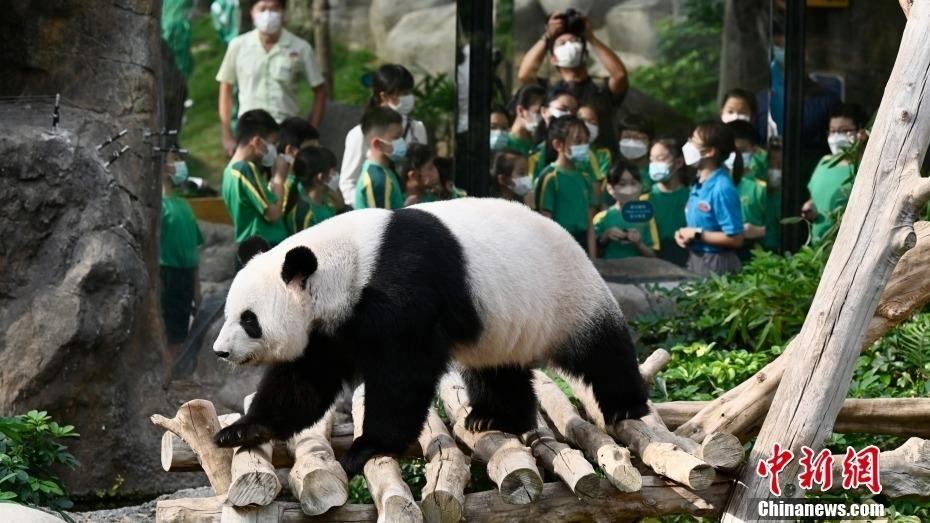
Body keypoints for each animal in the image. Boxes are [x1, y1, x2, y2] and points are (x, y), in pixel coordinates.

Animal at [210, 199, 644, 476]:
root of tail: (574, 240)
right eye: (229, 313)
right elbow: (305, 382)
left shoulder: (403, 289)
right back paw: (496, 416)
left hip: (565, 295)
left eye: (249, 320)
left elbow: (402, 374)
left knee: (600, 351)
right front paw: (242, 429)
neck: (348, 262)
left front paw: (369, 446)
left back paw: (625, 406)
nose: (220, 351)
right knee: (497, 366)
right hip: (501, 323)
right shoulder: (331, 326)